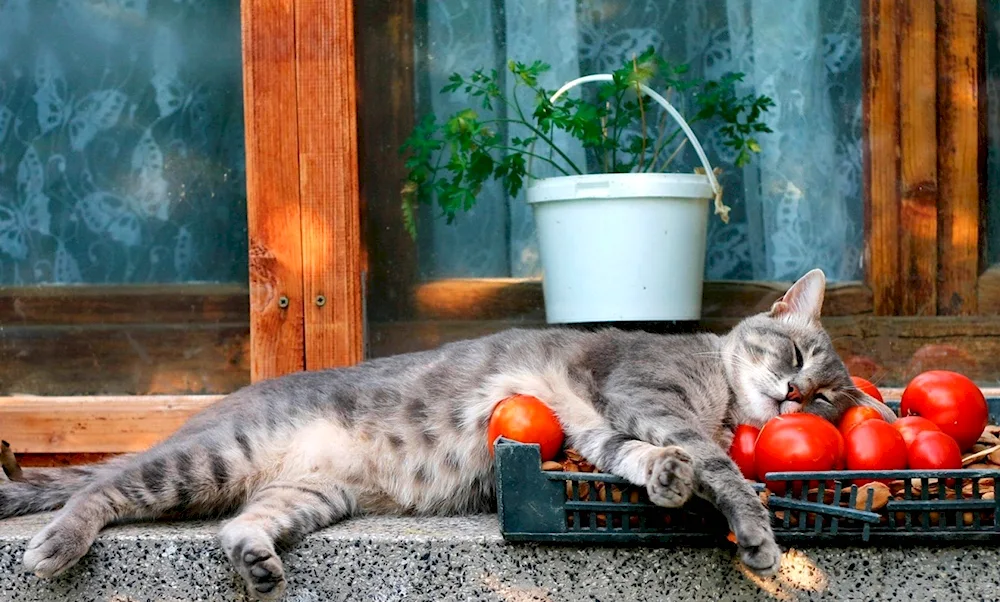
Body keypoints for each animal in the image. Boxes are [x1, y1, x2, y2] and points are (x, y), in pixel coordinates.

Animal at [0, 270, 892, 596]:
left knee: (237, 525)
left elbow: (639, 459)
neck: (715, 391)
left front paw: (668, 479)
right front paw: (756, 532)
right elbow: (722, 469)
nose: (795, 395)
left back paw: (255, 562)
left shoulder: (595, 427)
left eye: (825, 400)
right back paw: (56, 545)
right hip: (206, 459)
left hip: (308, 494)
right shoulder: (643, 392)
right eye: (797, 355)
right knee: (99, 490)